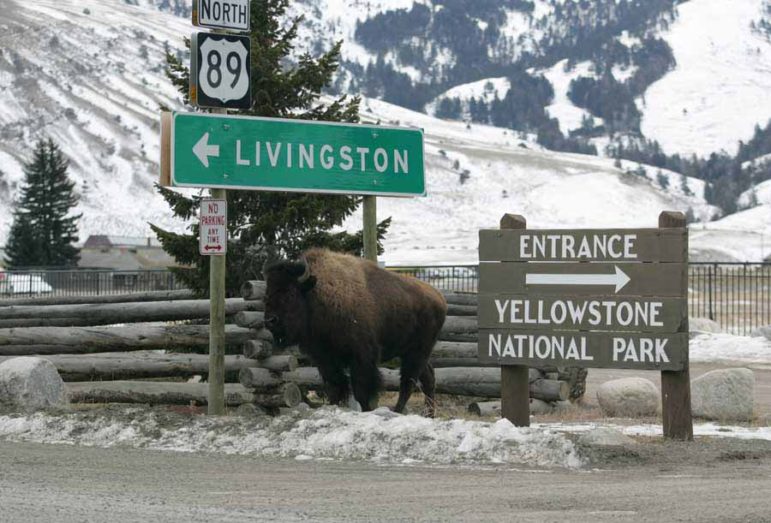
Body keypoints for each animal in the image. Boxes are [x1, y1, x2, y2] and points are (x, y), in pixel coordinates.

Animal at [264, 250, 446, 418]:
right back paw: (429, 415)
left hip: (417, 352)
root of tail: (439, 297)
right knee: (428, 377)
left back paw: (399, 411)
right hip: (412, 352)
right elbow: (335, 387)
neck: (317, 295)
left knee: (408, 383)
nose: (270, 320)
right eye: (267, 293)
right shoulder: (324, 359)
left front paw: (366, 411)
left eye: (290, 293)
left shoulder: (361, 357)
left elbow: (361, 390)